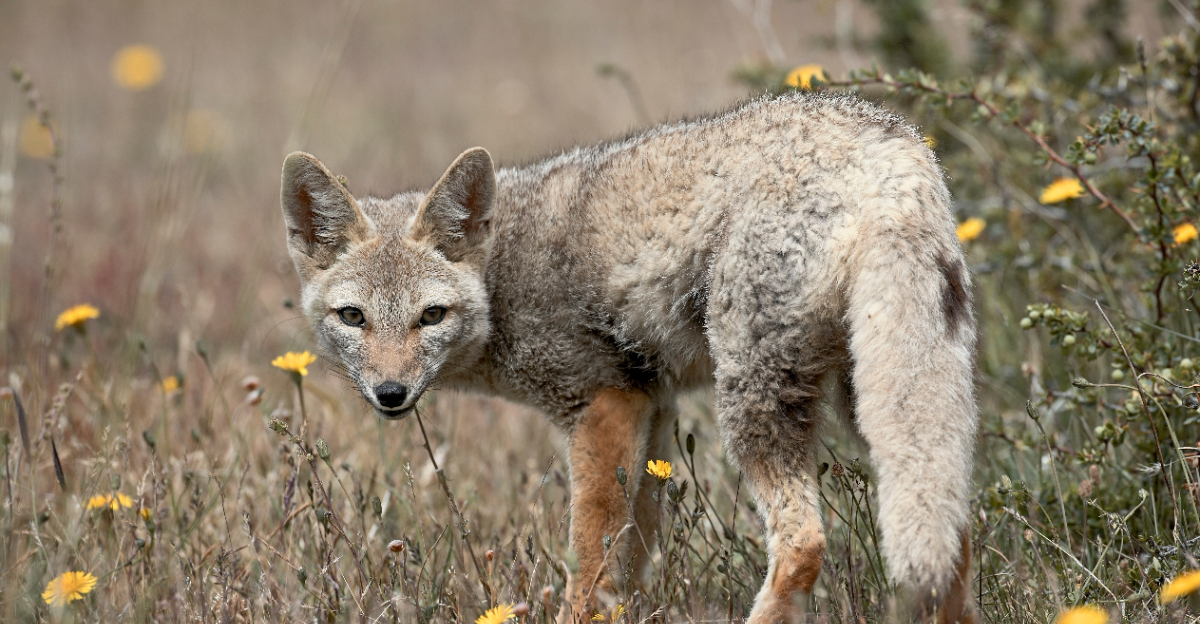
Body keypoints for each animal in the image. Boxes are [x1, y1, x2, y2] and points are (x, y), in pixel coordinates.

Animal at [278, 91, 978, 623]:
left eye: (431, 316)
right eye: (353, 318)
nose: (390, 394)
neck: (503, 276)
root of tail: (888, 146)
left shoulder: (602, 405)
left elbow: (589, 567)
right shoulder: (652, 407)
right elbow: (629, 565)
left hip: (754, 405)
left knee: (804, 542)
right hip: (879, 409)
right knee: (954, 537)